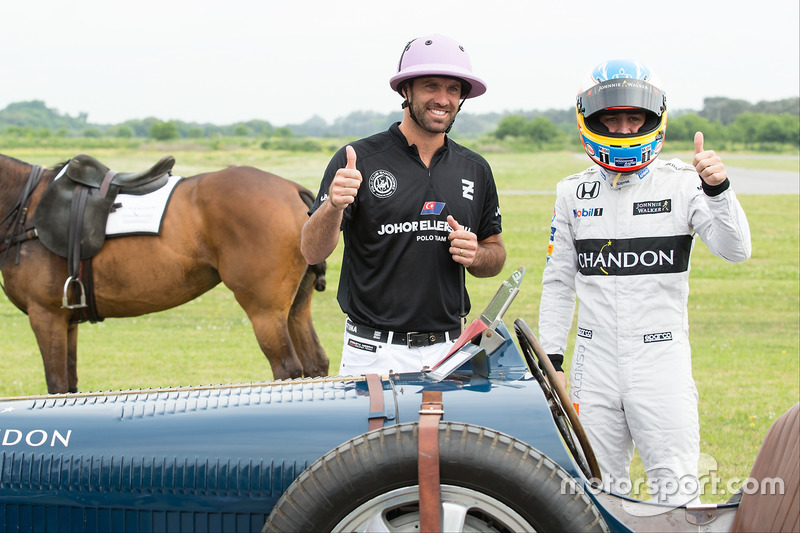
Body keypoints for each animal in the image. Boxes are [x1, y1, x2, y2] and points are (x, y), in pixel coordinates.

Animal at [0, 152, 328, 392]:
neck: (26, 209)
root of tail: (293, 190)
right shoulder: (66, 321)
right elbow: (69, 385)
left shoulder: (46, 316)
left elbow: (56, 386)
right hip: (296, 308)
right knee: (315, 363)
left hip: (265, 311)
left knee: (286, 368)